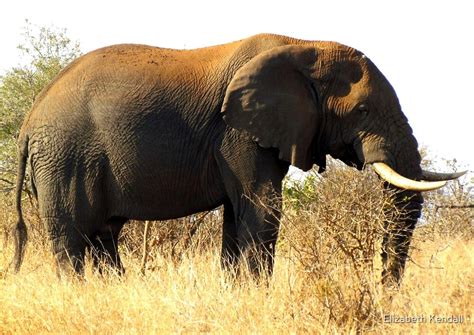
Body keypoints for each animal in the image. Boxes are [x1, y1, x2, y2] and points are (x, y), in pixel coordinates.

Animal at [11, 33, 462, 284]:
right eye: (363, 110)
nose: (383, 291)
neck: (305, 47)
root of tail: (29, 123)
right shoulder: (237, 132)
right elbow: (262, 207)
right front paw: (256, 294)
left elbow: (238, 213)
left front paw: (234, 292)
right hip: (64, 157)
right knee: (72, 239)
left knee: (103, 238)